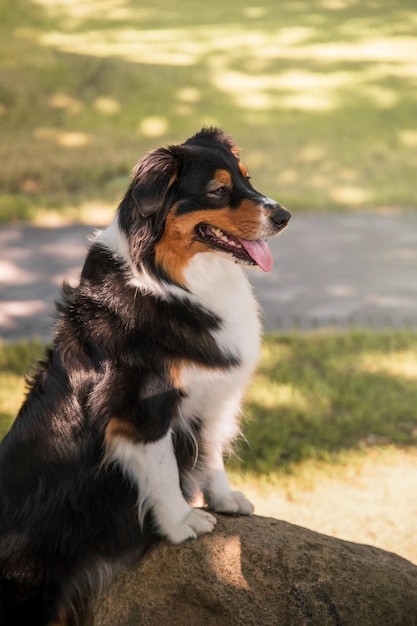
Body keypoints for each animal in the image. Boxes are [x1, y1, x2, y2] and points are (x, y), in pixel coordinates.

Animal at [0, 128, 290, 624]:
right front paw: (180, 523)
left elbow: (209, 454)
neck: (177, 283)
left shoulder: (208, 401)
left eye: (246, 179)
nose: (285, 216)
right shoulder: (141, 407)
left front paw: (223, 499)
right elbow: (163, 469)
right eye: (218, 190)